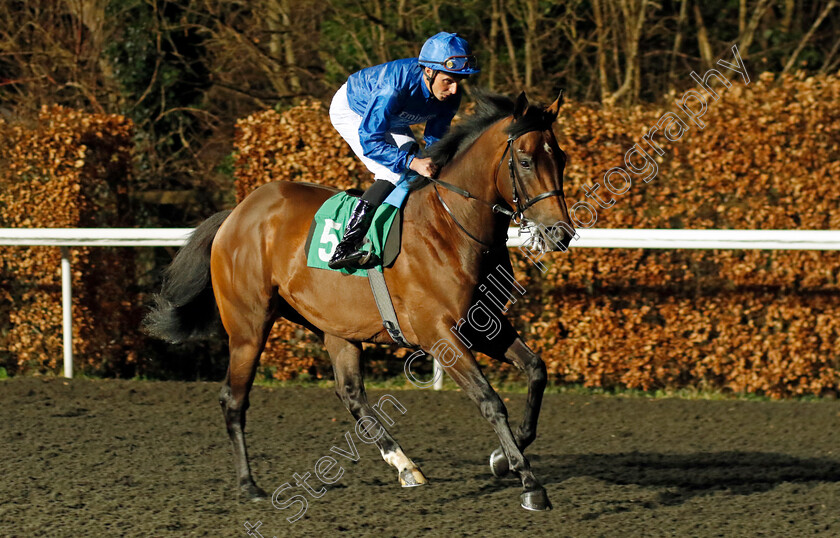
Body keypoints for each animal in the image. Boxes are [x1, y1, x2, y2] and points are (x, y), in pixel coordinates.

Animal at [148, 90, 576, 508]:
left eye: (562, 157)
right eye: (525, 160)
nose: (561, 233)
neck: (452, 227)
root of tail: (237, 213)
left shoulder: (482, 324)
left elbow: (536, 369)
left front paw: (503, 458)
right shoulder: (440, 335)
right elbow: (489, 400)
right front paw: (529, 482)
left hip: (334, 326)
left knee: (351, 394)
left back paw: (405, 465)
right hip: (248, 327)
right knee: (234, 399)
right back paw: (248, 484)